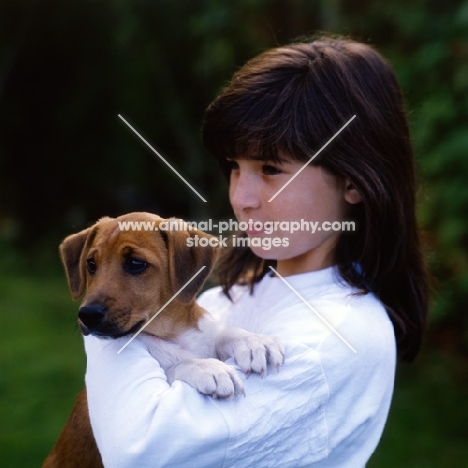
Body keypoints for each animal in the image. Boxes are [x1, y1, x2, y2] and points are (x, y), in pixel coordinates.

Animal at [44, 213, 284, 468]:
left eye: (136, 264)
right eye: (91, 265)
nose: (87, 315)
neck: (173, 333)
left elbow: (223, 334)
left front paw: (253, 342)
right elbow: (176, 364)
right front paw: (207, 368)